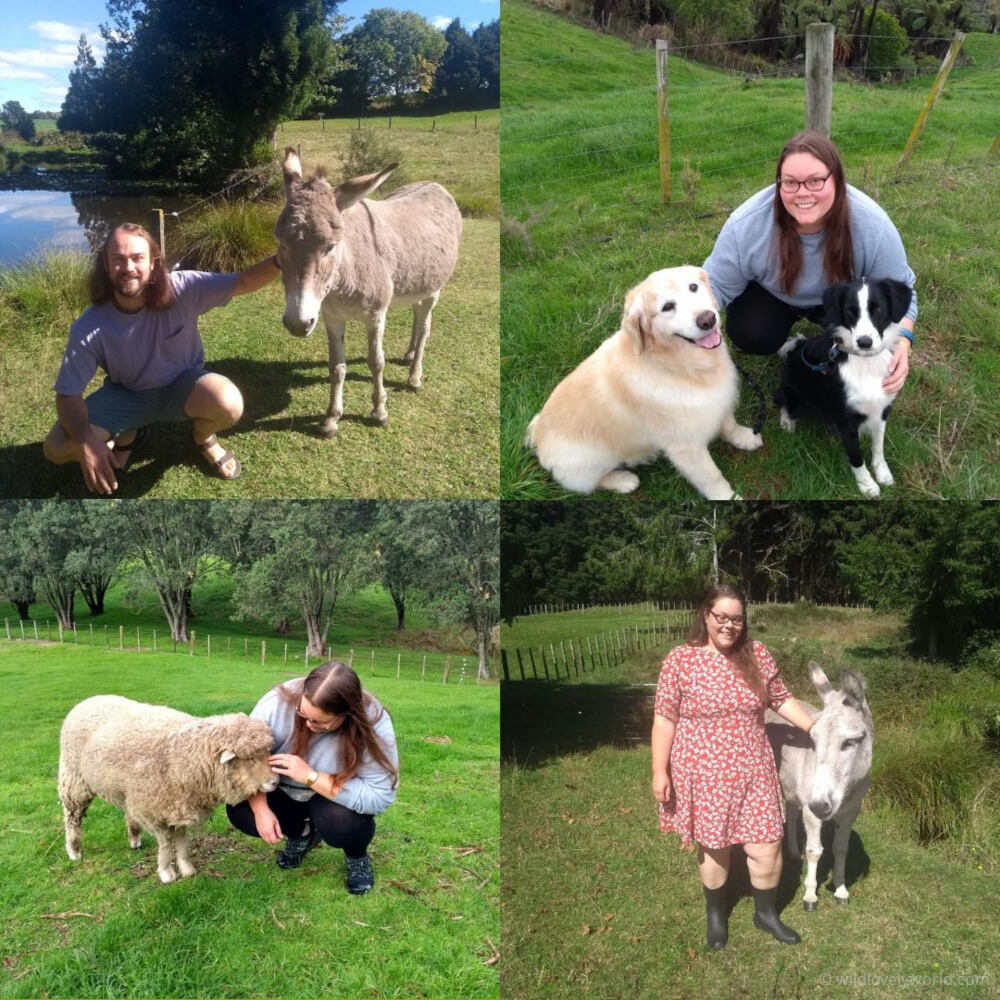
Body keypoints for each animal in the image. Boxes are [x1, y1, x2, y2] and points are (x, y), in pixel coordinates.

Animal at [59, 696, 280, 884]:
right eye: (250, 759)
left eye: (268, 752)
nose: (275, 782)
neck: (185, 756)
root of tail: (88, 700)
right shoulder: (155, 812)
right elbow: (165, 844)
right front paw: (166, 872)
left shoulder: (180, 806)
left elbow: (182, 840)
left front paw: (186, 867)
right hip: (74, 777)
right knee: (72, 817)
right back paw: (74, 851)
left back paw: (135, 841)